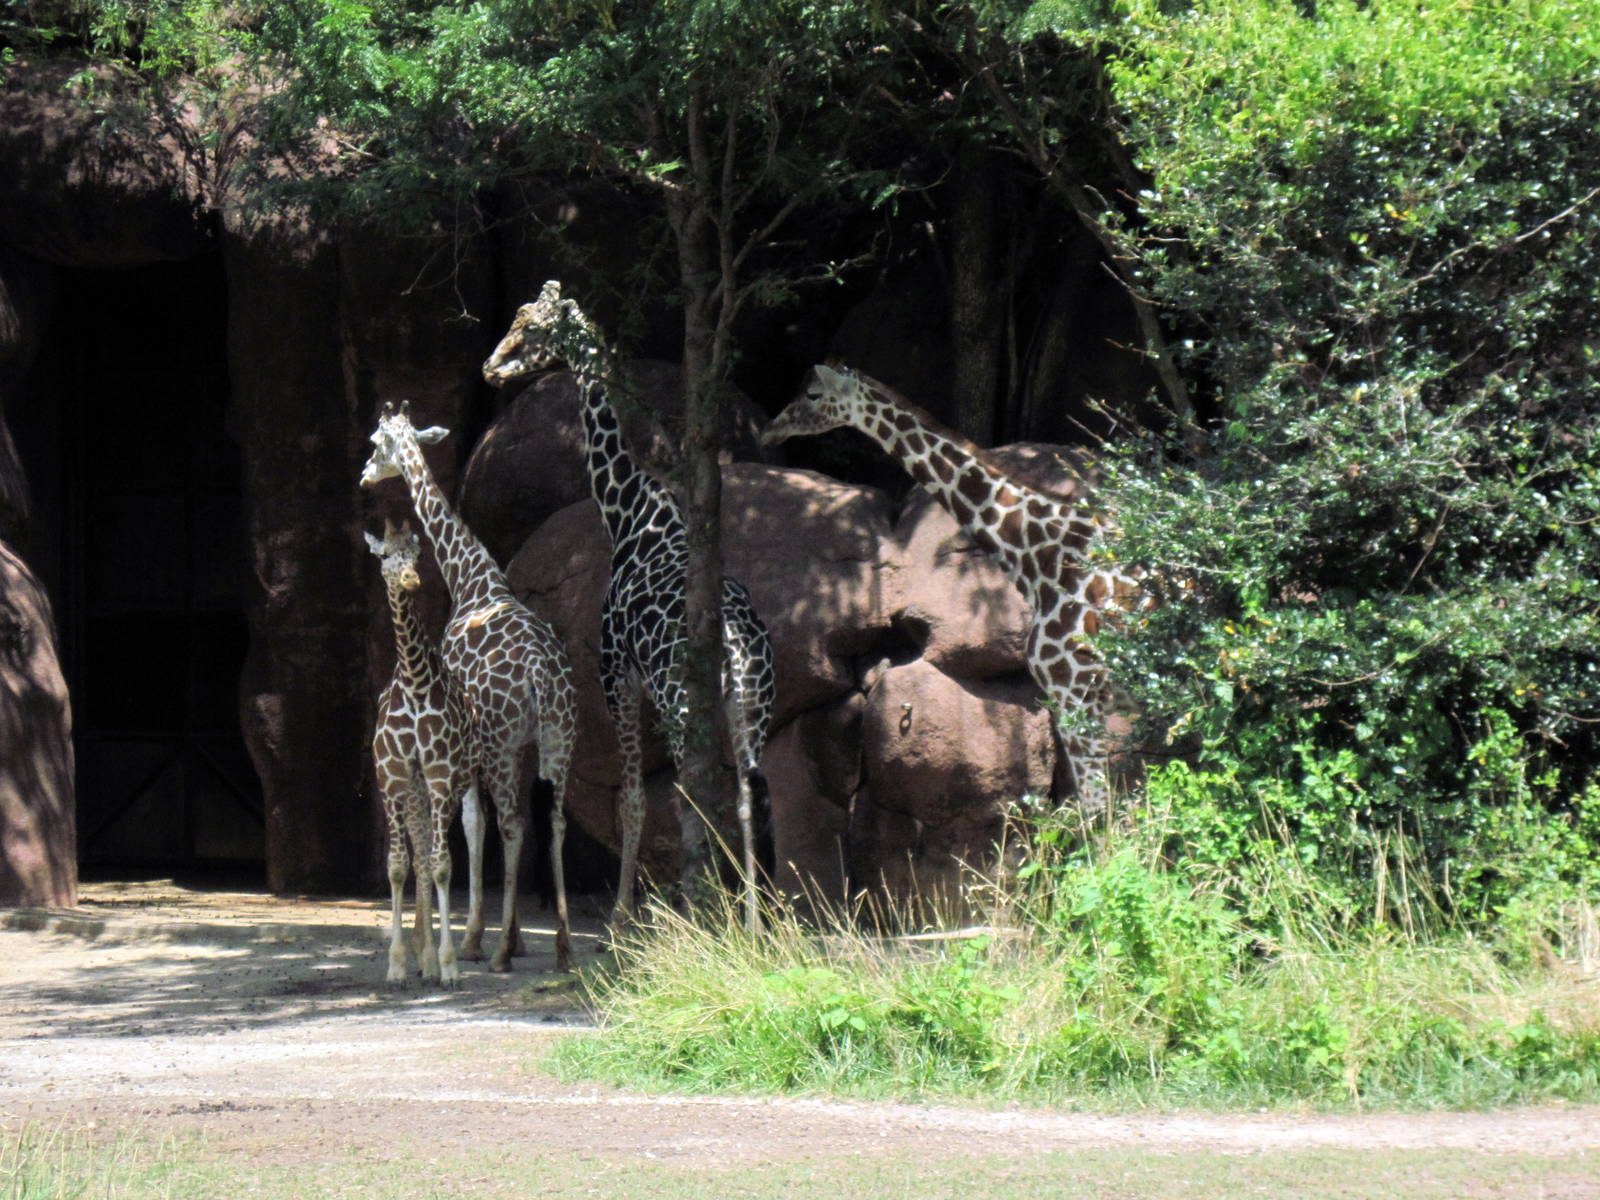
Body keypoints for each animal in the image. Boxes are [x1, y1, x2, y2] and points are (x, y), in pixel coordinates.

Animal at [361, 402, 579, 971]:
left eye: (375, 443)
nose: (365, 476)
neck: (475, 581)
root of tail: (541, 677)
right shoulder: (520, 745)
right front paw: (514, 935)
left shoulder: (476, 743)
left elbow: (473, 824)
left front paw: (476, 938)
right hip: (561, 739)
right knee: (554, 821)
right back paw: (563, 946)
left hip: (503, 743)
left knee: (510, 823)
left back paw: (497, 950)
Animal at [481, 281, 776, 932]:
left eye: (528, 325)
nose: (491, 367)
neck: (629, 513)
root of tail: (737, 639)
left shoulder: (615, 672)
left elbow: (634, 799)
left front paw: (620, 913)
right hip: (753, 702)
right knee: (751, 791)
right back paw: (753, 919)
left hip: (680, 699)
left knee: (697, 794)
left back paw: (703, 912)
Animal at [761, 363, 1146, 814]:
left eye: (814, 394)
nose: (770, 430)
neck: (1040, 553)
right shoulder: (1083, 699)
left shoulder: (1075, 690)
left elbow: (1098, 814)